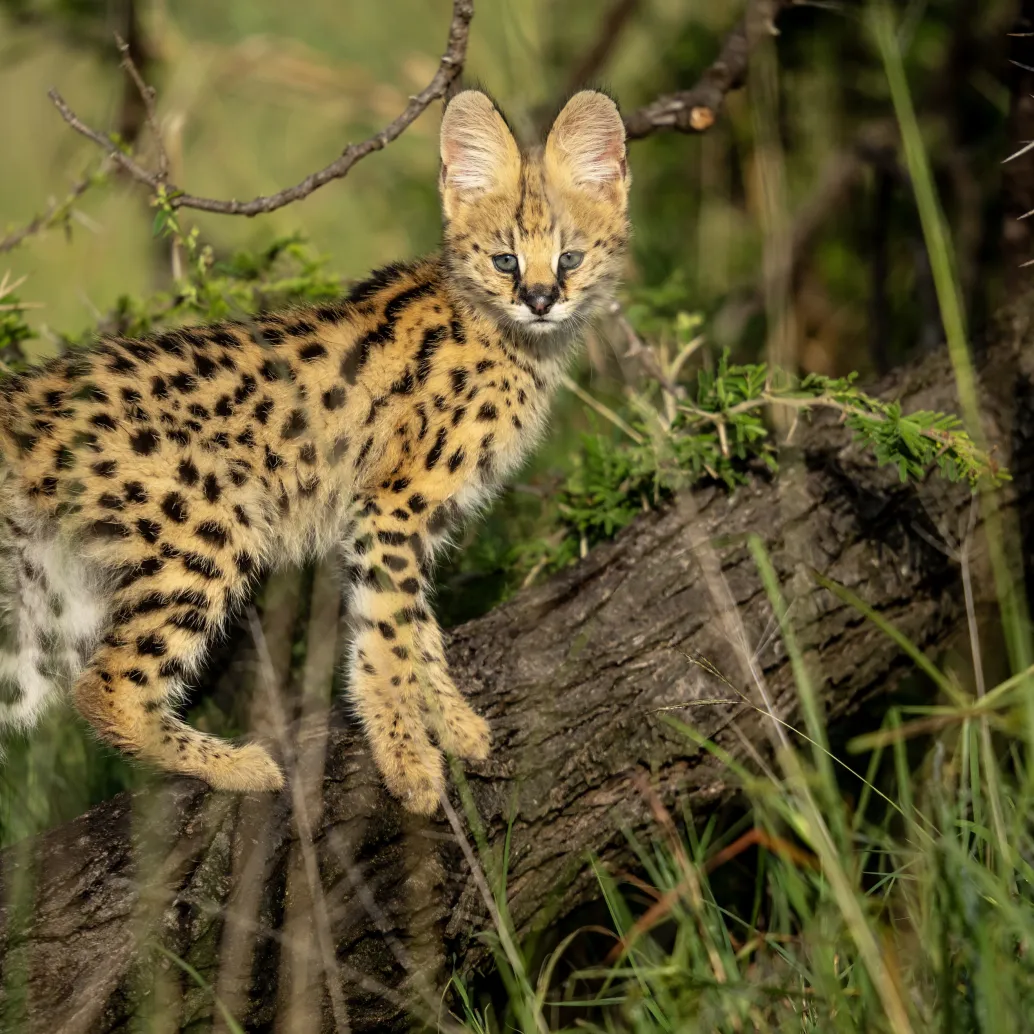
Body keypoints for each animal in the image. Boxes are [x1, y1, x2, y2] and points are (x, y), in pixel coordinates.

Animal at [0, 88, 628, 810]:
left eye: (570, 258)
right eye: (505, 261)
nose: (541, 299)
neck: (508, 333)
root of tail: (24, 396)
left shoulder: (400, 519)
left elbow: (414, 625)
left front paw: (449, 722)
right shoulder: (391, 506)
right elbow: (388, 631)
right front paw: (408, 761)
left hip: (46, 603)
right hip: (210, 527)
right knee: (106, 688)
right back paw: (236, 765)